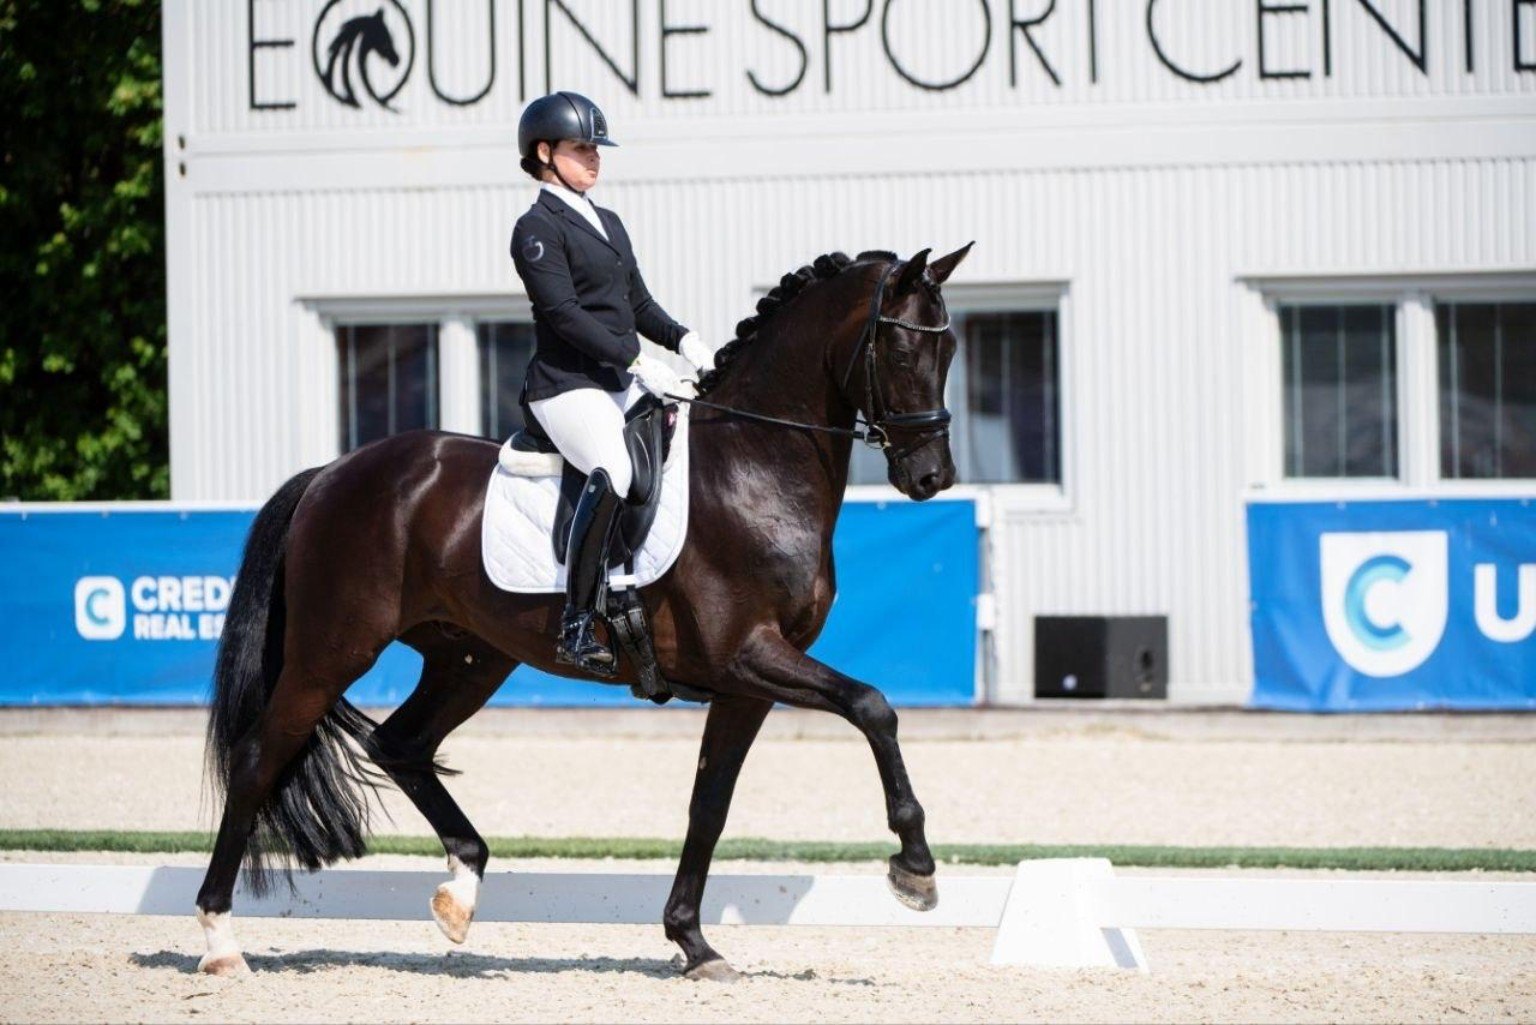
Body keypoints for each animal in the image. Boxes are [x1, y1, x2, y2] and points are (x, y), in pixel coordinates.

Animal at [195, 243, 974, 981]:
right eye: (901, 349)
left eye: (950, 351)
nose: (932, 477)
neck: (754, 463)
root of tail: (331, 473)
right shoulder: (747, 654)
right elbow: (873, 707)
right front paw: (915, 869)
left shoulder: (745, 685)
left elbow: (709, 804)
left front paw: (693, 942)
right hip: (332, 651)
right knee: (260, 757)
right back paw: (220, 941)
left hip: (468, 659)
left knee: (399, 744)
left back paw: (461, 891)